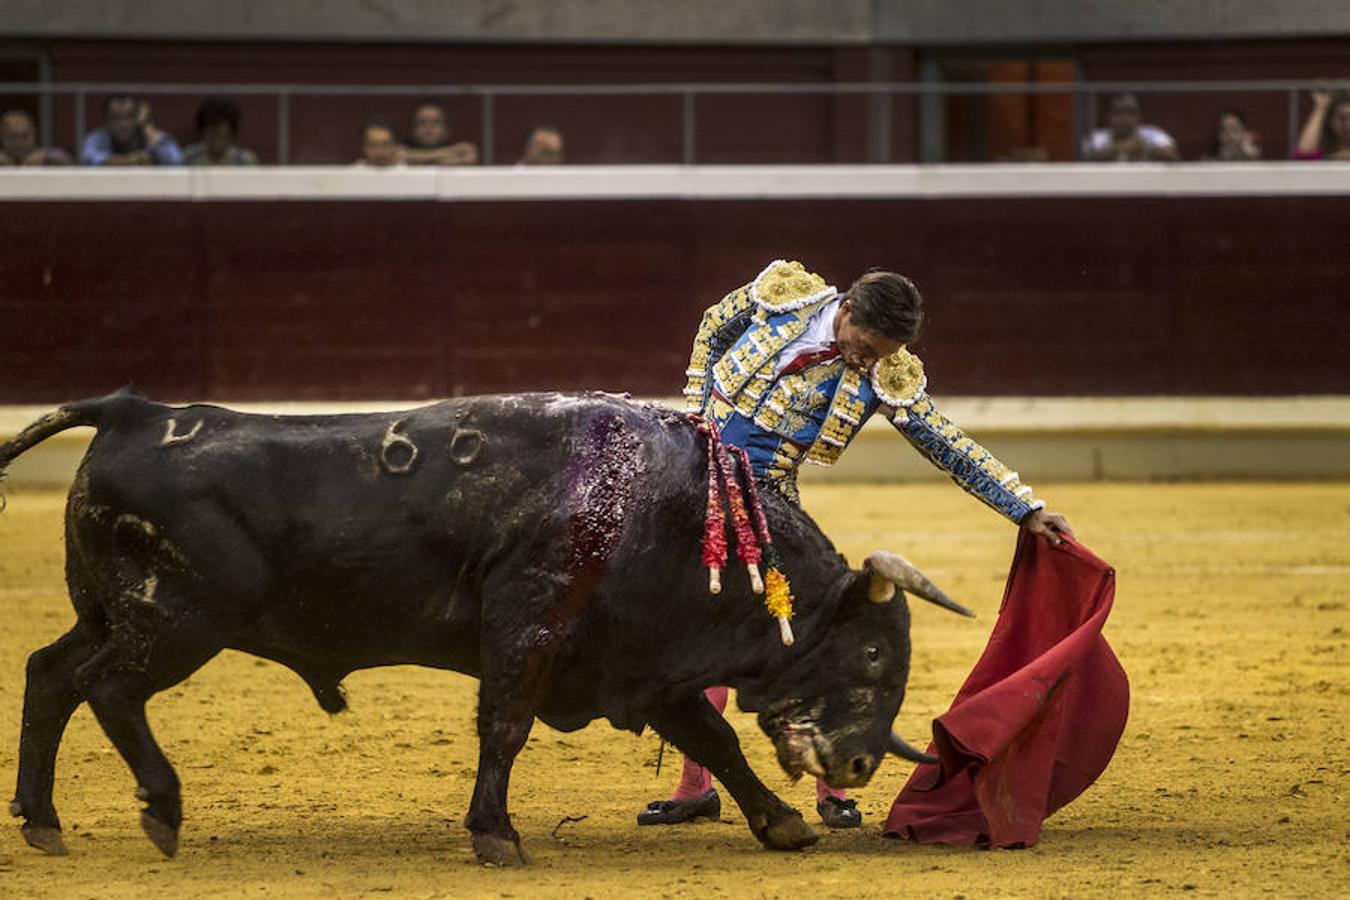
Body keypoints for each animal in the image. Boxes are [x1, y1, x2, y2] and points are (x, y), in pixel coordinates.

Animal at [2, 391, 972, 863]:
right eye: (874, 652)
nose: (858, 766)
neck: (662, 504)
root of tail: (133, 411)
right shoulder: (530, 624)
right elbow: (503, 726)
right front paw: (495, 836)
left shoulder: (640, 662)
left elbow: (718, 741)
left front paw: (783, 825)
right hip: (175, 622)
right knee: (104, 687)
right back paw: (161, 809)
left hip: (112, 612)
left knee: (50, 673)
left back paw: (42, 820)